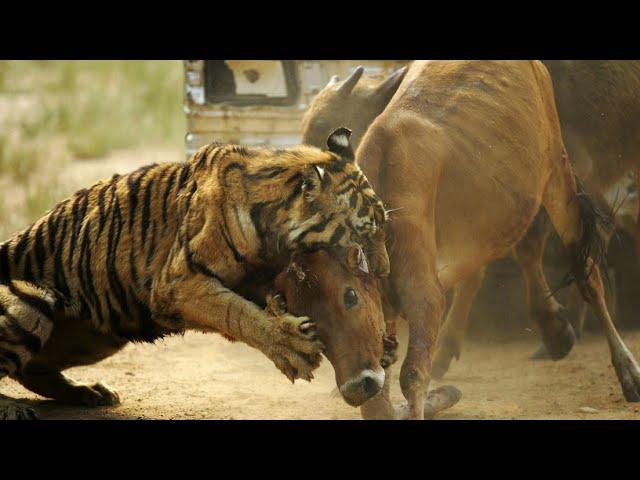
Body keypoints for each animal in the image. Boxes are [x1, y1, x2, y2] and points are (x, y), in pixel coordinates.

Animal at [0, 127, 384, 420]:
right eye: (365, 232)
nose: (383, 272)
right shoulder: (177, 284)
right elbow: (237, 314)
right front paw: (291, 346)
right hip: (31, 302)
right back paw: (16, 409)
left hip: (99, 337)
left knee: (31, 371)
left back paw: (90, 392)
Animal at [304, 61, 640, 420]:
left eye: (348, 297)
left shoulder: (424, 296)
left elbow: (413, 376)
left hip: (557, 169)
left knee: (584, 269)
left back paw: (625, 370)